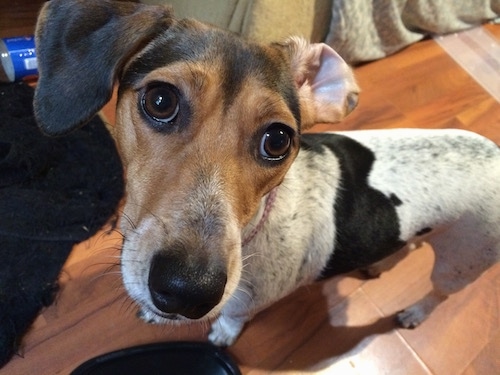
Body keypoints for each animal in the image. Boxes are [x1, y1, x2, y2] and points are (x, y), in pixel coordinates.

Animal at [33, 0, 498, 348]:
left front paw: (219, 336)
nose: (188, 291)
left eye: (277, 140)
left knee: (439, 293)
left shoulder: (242, 307)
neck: (254, 228)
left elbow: (229, 322)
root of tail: (494, 152)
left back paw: (416, 311)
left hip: (462, 261)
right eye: (160, 100)